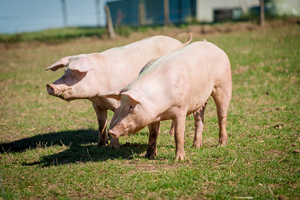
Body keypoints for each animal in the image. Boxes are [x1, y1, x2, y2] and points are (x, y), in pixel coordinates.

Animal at [45, 33, 193, 148]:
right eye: (65, 71)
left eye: (76, 72)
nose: (50, 86)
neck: (99, 93)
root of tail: (180, 42)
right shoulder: (97, 105)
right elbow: (101, 124)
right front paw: (100, 145)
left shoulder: (119, 104)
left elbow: (111, 123)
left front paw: (114, 147)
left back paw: (170, 133)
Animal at [103, 39, 232, 160]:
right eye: (121, 104)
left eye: (131, 106)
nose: (112, 131)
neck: (162, 108)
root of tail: (210, 44)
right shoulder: (152, 116)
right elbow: (153, 133)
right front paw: (149, 156)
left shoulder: (181, 108)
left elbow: (178, 134)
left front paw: (179, 159)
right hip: (201, 99)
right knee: (199, 119)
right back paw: (196, 146)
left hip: (223, 85)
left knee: (222, 116)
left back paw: (221, 145)